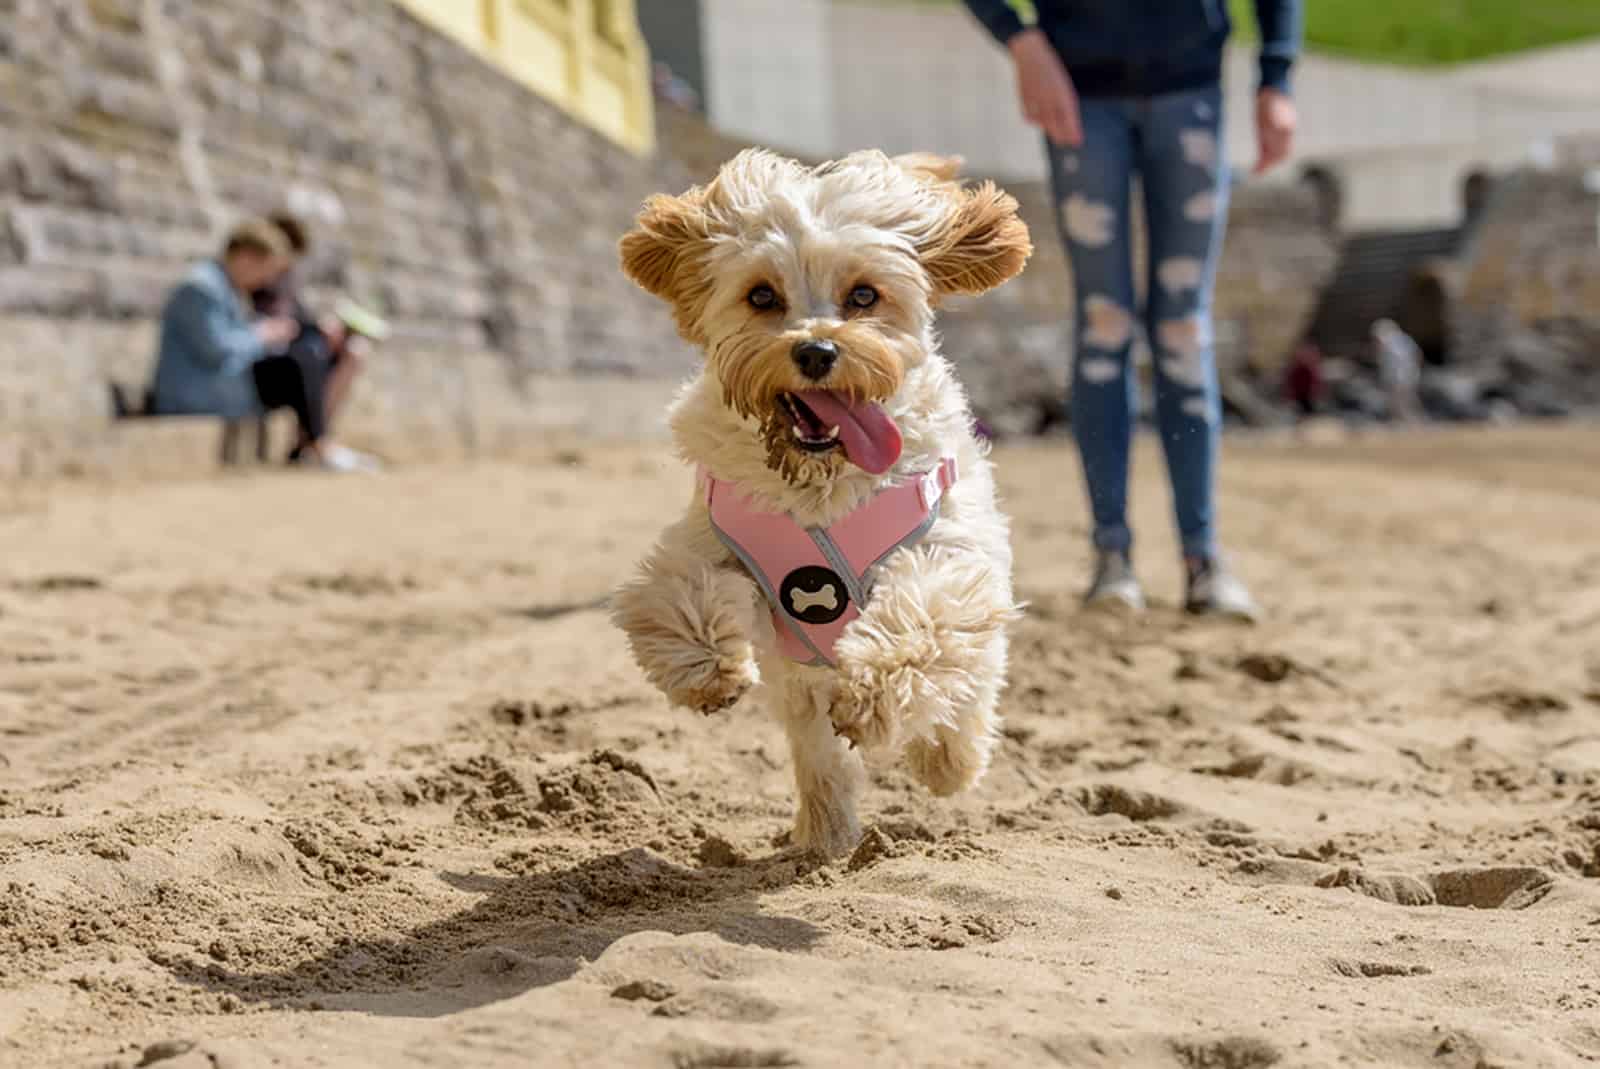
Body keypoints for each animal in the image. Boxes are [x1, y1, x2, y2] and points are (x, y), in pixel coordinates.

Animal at [604, 148, 1030, 851]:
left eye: (864, 295)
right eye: (761, 295)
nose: (815, 350)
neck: (819, 478)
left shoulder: (945, 552)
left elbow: (924, 621)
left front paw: (873, 694)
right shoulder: (718, 534)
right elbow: (679, 589)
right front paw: (708, 669)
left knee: (968, 688)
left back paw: (946, 761)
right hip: (802, 685)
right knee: (821, 758)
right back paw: (824, 840)